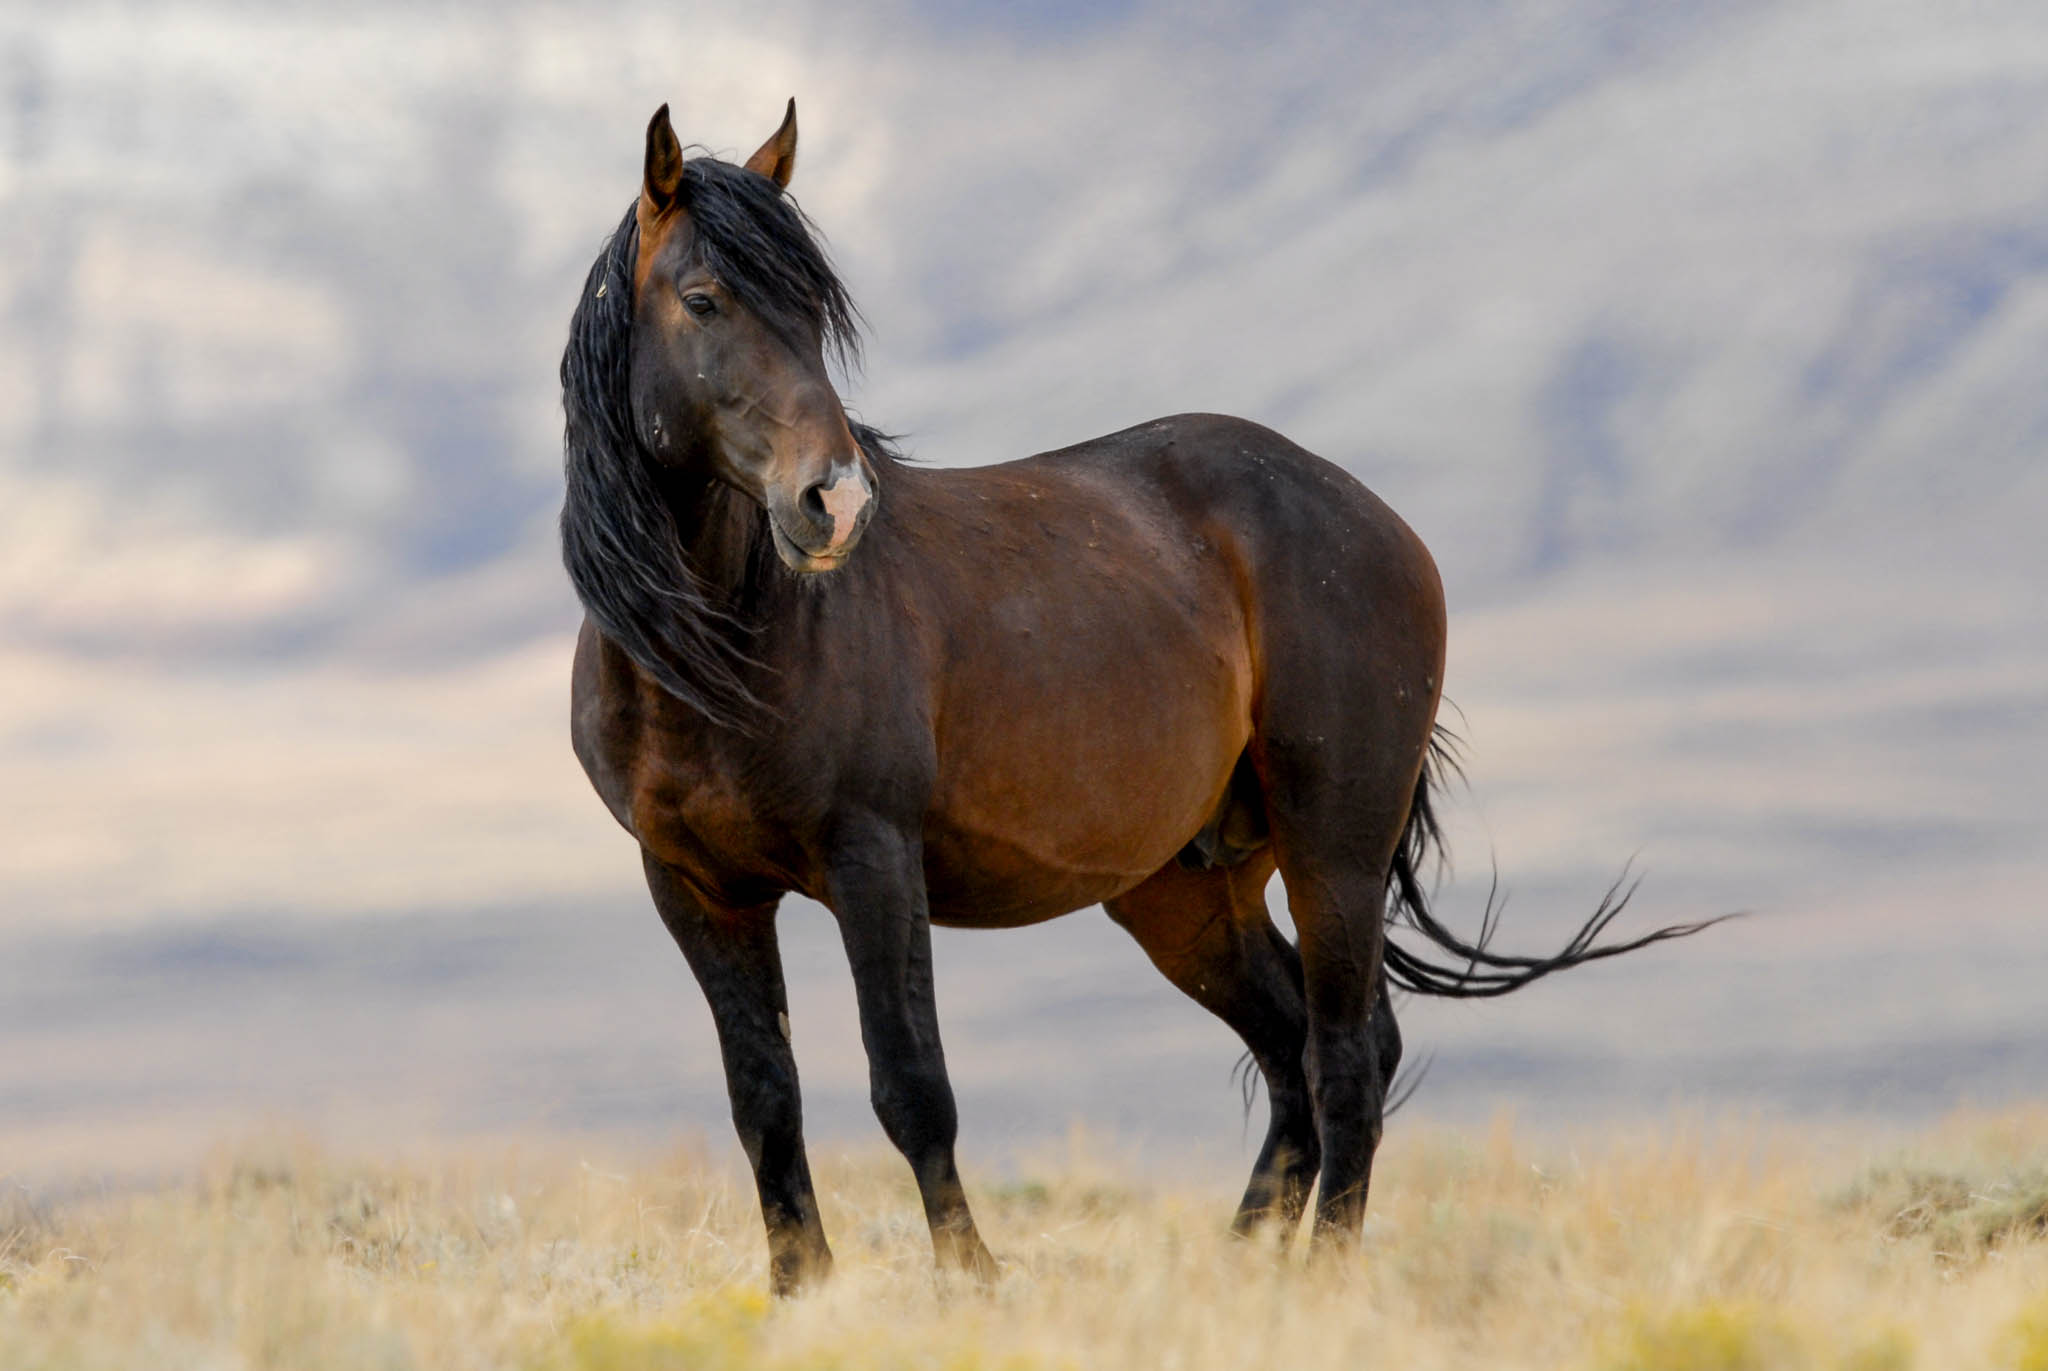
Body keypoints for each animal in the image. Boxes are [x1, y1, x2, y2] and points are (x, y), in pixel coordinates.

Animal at [557, 101, 1712, 1286]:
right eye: (703, 299)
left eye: (813, 314)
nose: (833, 501)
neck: (724, 650)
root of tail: (1377, 519)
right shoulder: (698, 889)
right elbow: (764, 1102)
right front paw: (803, 1292)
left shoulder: (871, 859)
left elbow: (911, 1088)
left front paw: (971, 1284)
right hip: (1186, 890)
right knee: (1293, 1049)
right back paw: (1241, 1271)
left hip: (1333, 848)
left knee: (1348, 1052)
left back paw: (1323, 1278)